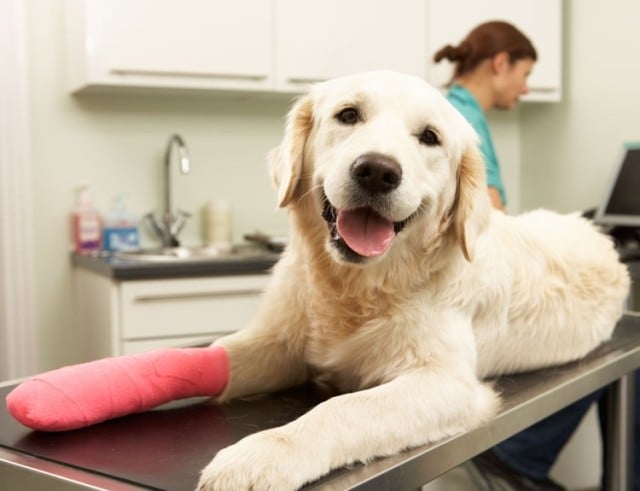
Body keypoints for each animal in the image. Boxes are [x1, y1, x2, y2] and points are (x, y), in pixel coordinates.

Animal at [198, 70, 628, 491]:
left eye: (429, 137)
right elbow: (221, 353)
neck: (357, 286)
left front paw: (261, 455)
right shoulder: (279, 342)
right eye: (348, 115)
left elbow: (344, 407)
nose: (376, 171)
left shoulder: (447, 382)